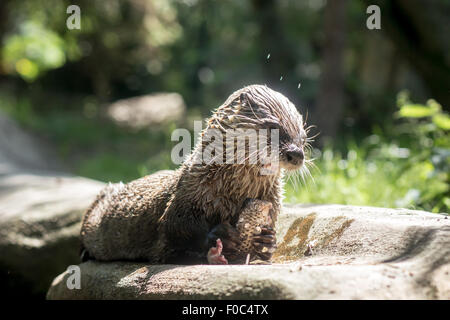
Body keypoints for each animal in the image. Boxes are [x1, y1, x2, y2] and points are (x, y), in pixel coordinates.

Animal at [81, 84, 308, 264]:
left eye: (303, 136)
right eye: (273, 126)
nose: (296, 153)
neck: (231, 191)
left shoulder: (273, 202)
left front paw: (267, 239)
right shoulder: (186, 193)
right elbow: (174, 225)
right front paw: (220, 235)